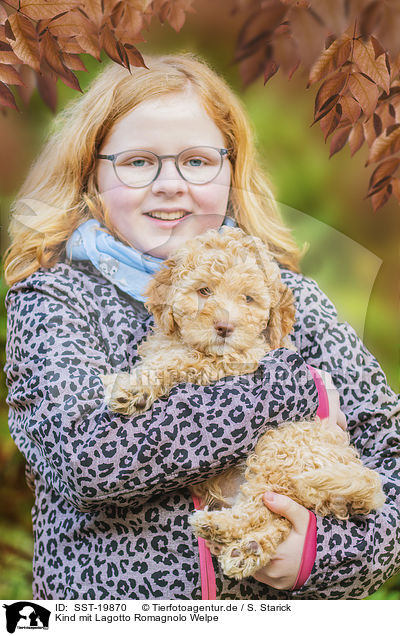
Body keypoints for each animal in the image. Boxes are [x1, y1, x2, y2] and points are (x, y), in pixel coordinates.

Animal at [101, 226, 384, 580]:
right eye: (204, 290)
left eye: (248, 299)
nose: (224, 327)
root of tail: (360, 484)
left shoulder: (238, 362)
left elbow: (182, 360)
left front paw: (130, 388)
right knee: (278, 518)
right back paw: (246, 550)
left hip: (279, 448)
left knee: (263, 506)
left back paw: (217, 527)